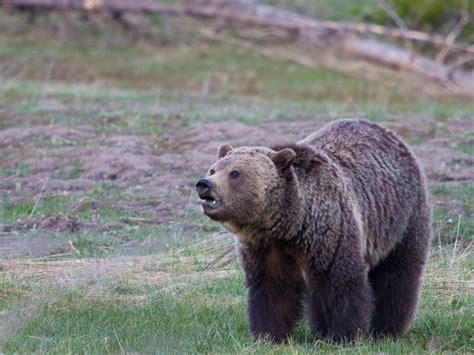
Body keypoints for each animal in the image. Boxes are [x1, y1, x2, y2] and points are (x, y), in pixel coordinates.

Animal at [194, 120, 432, 344]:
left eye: (235, 173)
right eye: (213, 169)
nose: (204, 184)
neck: (290, 224)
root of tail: (390, 135)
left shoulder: (331, 231)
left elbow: (341, 284)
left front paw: (343, 336)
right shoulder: (265, 247)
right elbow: (272, 287)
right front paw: (268, 335)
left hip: (402, 217)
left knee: (396, 275)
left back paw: (386, 331)